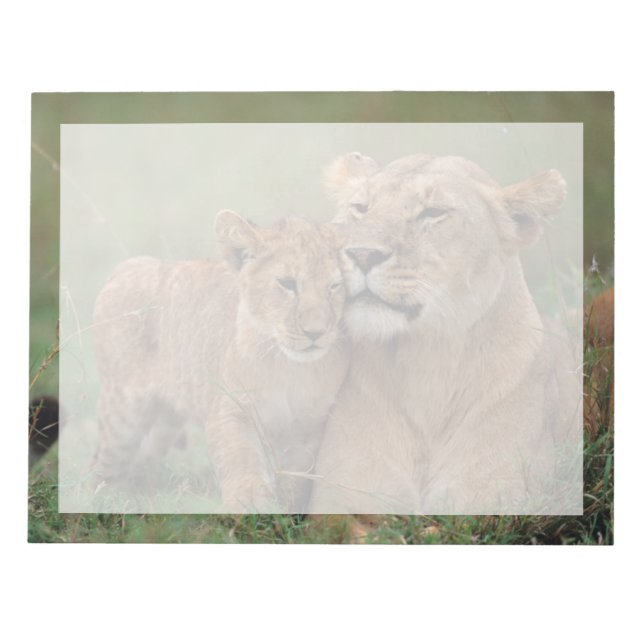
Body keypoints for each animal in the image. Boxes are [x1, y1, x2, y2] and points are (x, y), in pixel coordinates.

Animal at [93, 212, 348, 512]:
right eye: (287, 283)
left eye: (334, 286)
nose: (316, 332)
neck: (291, 367)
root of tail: (127, 266)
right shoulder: (230, 409)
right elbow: (241, 460)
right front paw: (248, 504)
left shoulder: (309, 427)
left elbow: (295, 479)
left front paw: (286, 508)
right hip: (122, 414)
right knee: (101, 464)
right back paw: (101, 500)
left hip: (164, 422)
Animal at [309, 152, 582, 515]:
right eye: (361, 208)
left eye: (433, 212)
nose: (361, 254)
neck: (426, 362)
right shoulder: (343, 499)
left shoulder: (495, 498)